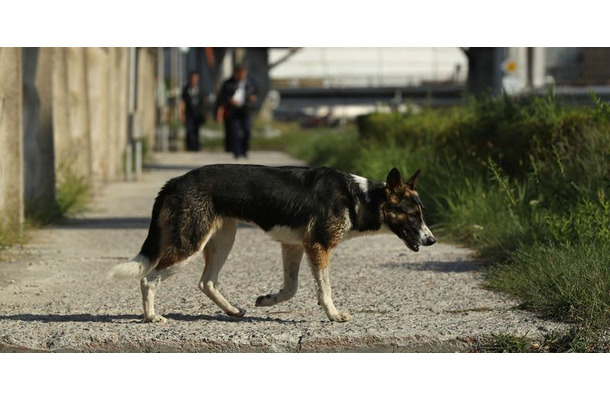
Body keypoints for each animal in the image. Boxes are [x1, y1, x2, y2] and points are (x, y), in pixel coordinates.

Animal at [108, 164, 432, 324]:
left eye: (422, 213)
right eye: (412, 215)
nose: (432, 240)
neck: (359, 198)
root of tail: (174, 182)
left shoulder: (294, 247)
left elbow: (291, 288)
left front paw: (267, 300)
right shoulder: (318, 246)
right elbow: (324, 290)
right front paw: (333, 314)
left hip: (223, 238)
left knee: (207, 282)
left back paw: (233, 311)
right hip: (190, 244)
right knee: (149, 279)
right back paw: (151, 316)